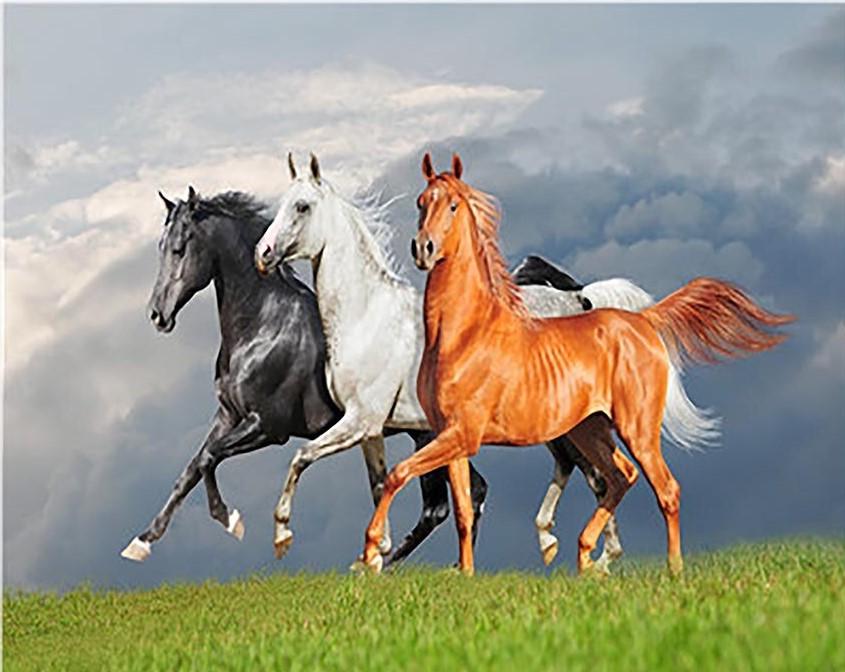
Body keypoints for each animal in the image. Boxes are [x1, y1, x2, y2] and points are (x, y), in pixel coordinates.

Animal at [120, 187, 477, 563]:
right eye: (160, 247)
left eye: (179, 248)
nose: (157, 315)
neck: (263, 326)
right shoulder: (228, 415)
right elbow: (189, 471)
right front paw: (142, 542)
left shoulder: (267, 427)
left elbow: (208, 458)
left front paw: (230, 520)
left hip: (426, 435)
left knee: (437, 508)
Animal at [254, 154, 718, 571]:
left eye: (302, 207)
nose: (263, 254)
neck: (366, 315)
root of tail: (582, 299)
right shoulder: (371, 431)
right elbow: (378, 483)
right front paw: (375, 554)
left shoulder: (361, 421)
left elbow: (302, 458)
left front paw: (283, 536)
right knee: (592, 473)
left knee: (597, 476)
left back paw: (588, 552)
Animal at [356, 152, 793, 576]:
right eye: (420, 202)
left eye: (452, 205)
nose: (423, 249)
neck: (465, 334)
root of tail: (643, 321)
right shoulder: (451, 438)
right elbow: (462, 510)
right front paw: (463, 574)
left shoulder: (462, 435)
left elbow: (397, 475)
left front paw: (372, 551)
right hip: (590, 428)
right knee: (619, 477)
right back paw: (584, 557)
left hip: (635, 429)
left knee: (663, 489)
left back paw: (670, 569)